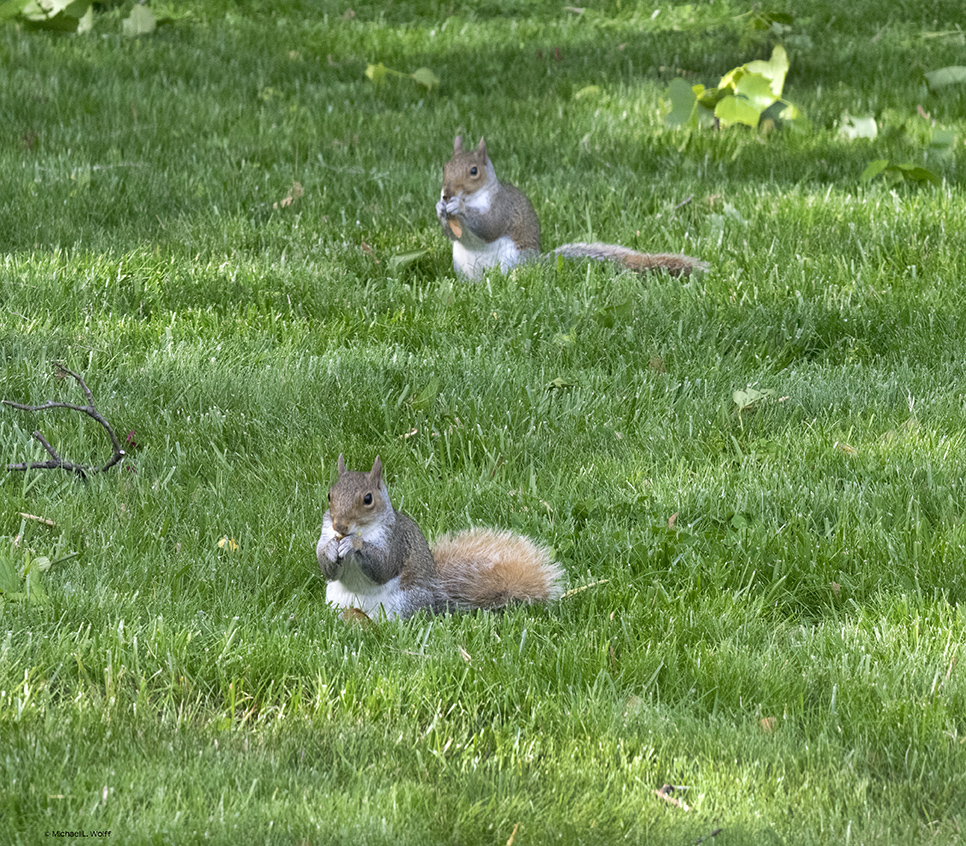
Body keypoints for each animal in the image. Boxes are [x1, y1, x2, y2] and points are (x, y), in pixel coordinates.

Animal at [318, 458, 564, 624]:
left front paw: (354, 545)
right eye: (330, 495)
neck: (361, 530)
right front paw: (330, 549)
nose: (339, 527)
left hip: (403, 603)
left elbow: (383, 567)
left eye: (368, 499)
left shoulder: (395, 541)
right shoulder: (325, 532)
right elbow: (328, 569)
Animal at [434, 136, 708, 282]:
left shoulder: (502, 207)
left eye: (473, 171)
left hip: (513, 260)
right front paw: (440, 209)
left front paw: (459, 208)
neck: (475, 196)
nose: (446, 193)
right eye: (445, 166)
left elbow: (489, 226)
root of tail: (538, 263)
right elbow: (452, 233)